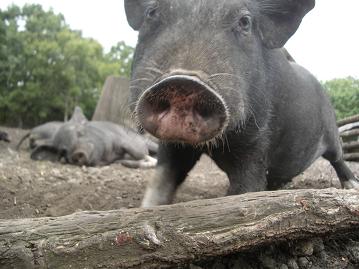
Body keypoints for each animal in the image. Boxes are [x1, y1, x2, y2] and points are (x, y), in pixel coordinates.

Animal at [124, 0, 359, 206]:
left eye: (245, 22)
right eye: (151, 13)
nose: (184, 82)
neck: (220, 144)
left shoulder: (257, 140)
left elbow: (245, 189)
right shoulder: (174, 145)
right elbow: (161, 181)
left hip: (331, 131)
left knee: (338, 158)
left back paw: (352, 186)